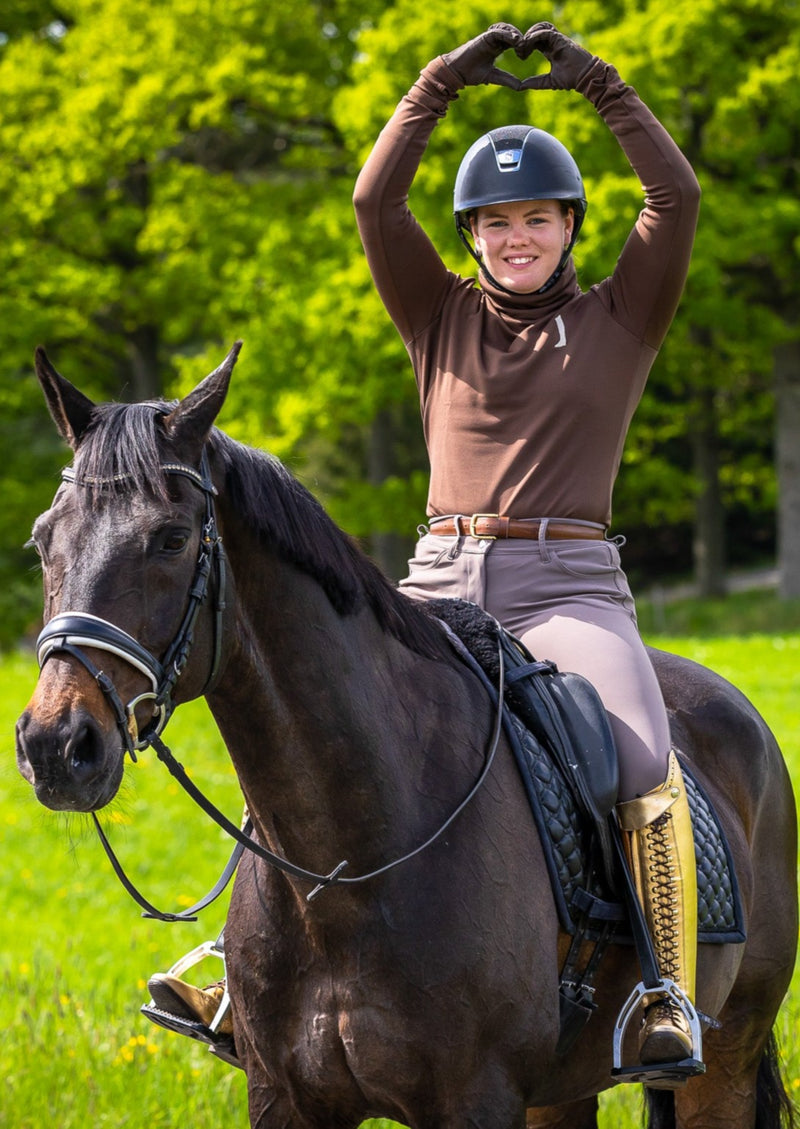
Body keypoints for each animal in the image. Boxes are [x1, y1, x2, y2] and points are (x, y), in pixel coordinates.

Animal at [15, 345, 794, 1129]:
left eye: (172, 539)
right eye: (43, 538)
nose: (56, 745)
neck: (343, 870)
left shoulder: (474, 1100)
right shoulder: (283, 1098)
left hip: (721, 1065)